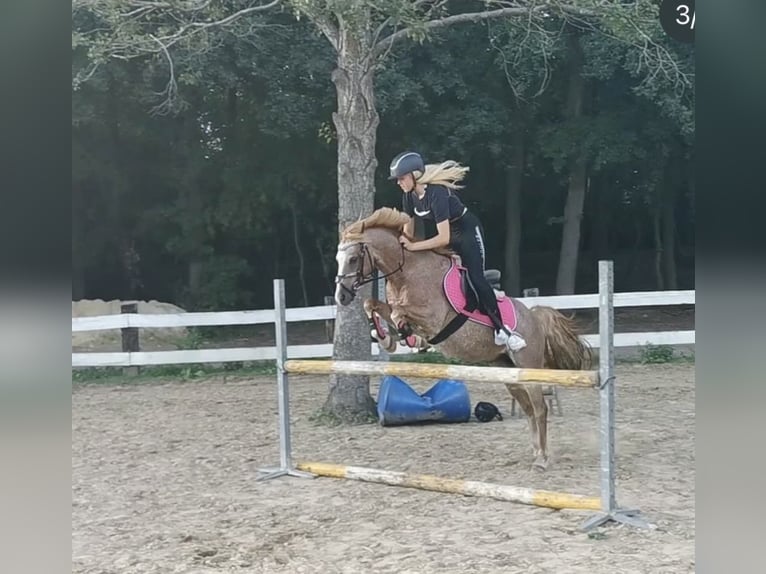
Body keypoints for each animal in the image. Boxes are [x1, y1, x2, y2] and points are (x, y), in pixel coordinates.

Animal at [334, 207, 591, 470]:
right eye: (337, 259)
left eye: (353, 259)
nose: (341, 296)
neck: (408, 273)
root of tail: (534, 317)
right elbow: (372, 304)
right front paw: (387, 338)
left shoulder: (433, 317)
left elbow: (397, 314)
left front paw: (405, 339)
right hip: (509, 373)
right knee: (529, 409)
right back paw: (536, 452)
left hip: (528, 366)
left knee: (540, 409)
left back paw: (541, 460)